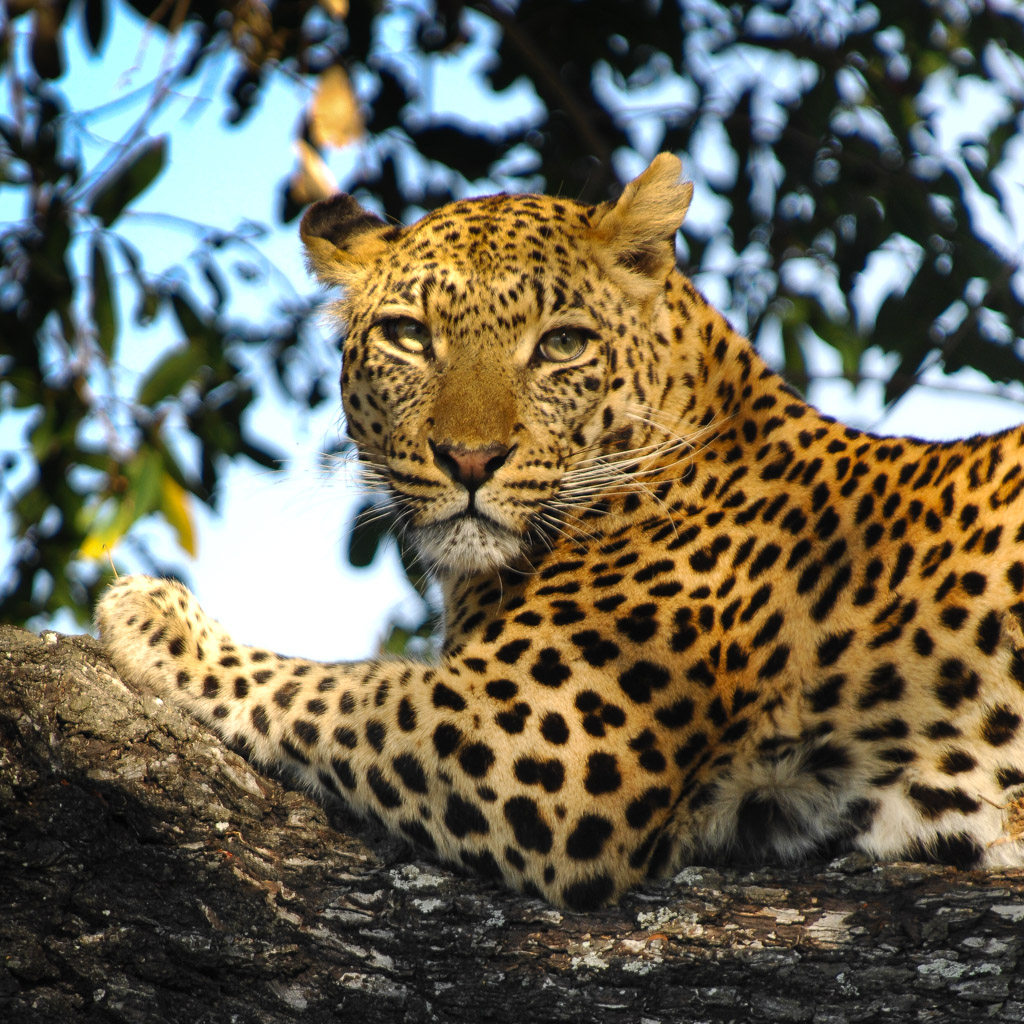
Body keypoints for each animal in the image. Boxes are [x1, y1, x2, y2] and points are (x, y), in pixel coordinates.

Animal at [99, 148, 1024, 909]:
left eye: (562, 346)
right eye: (408, 336)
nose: (470, 460)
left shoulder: (541, 741)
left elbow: (342, 689)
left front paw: (155, 619)